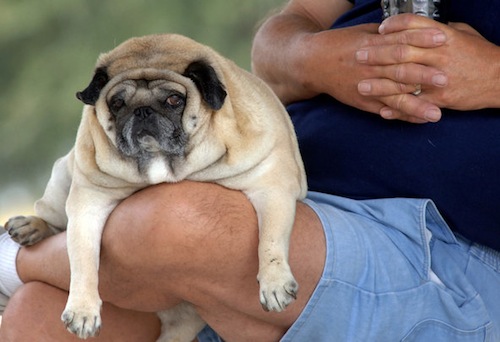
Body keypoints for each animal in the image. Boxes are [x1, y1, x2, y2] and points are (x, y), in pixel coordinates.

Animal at [5, 33, 306, 340]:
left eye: (174, 99)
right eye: (117, 103)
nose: (142, 111)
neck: (164, 162)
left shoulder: (271, 187)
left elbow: (270, 240)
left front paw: (274, 283)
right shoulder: (89, 203)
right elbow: (82, 260)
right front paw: (82, 309)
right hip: (62, 178)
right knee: (55, 220)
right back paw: (31, 226)